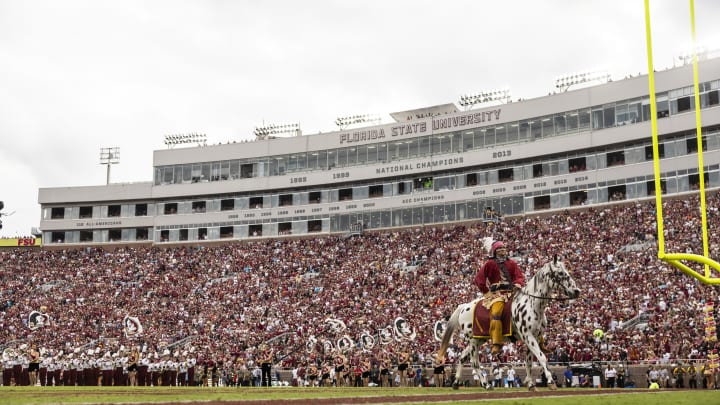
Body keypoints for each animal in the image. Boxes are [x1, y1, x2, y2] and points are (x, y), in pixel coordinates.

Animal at [434, 254, 580, 390]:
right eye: (560, 273)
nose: (577, 291)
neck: (533, 304)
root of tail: (464, 306)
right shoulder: (528, 336)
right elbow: (542, 357)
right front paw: (550, 381)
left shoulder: (534, 337)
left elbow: (529, 362)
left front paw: (531, 384)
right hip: (473, 341)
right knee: (474, 361)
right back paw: (486, 384)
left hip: (479, 339)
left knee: (462, 357)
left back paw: (456, 382)